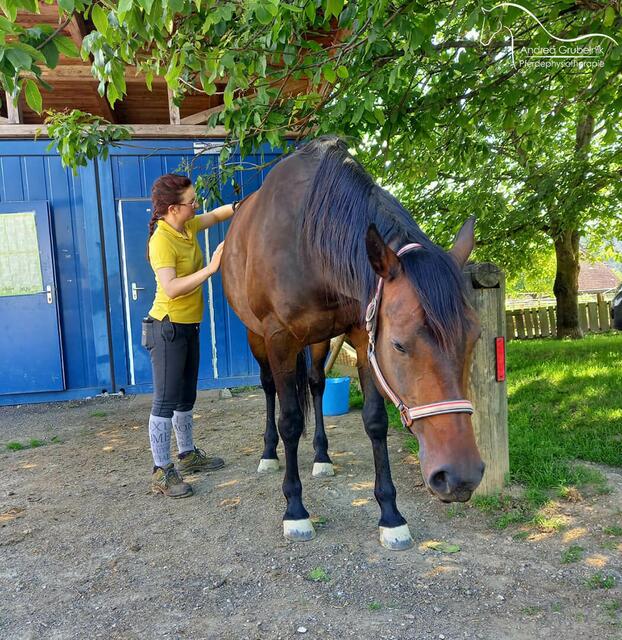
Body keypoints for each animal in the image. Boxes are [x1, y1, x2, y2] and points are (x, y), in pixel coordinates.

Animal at [222, 136, 486, 552]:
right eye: (398, 345)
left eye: (474, 337)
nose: (460, 477)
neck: (306, 239)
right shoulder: (279, 338)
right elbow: (290, 420)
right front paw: (295, 510)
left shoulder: (362, 335)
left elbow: (375, 422)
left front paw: (391, 516)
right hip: (258, 338)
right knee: (269, 390)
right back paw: (268, 454)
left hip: (318, 340)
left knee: (315, 384)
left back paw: (322, 457)